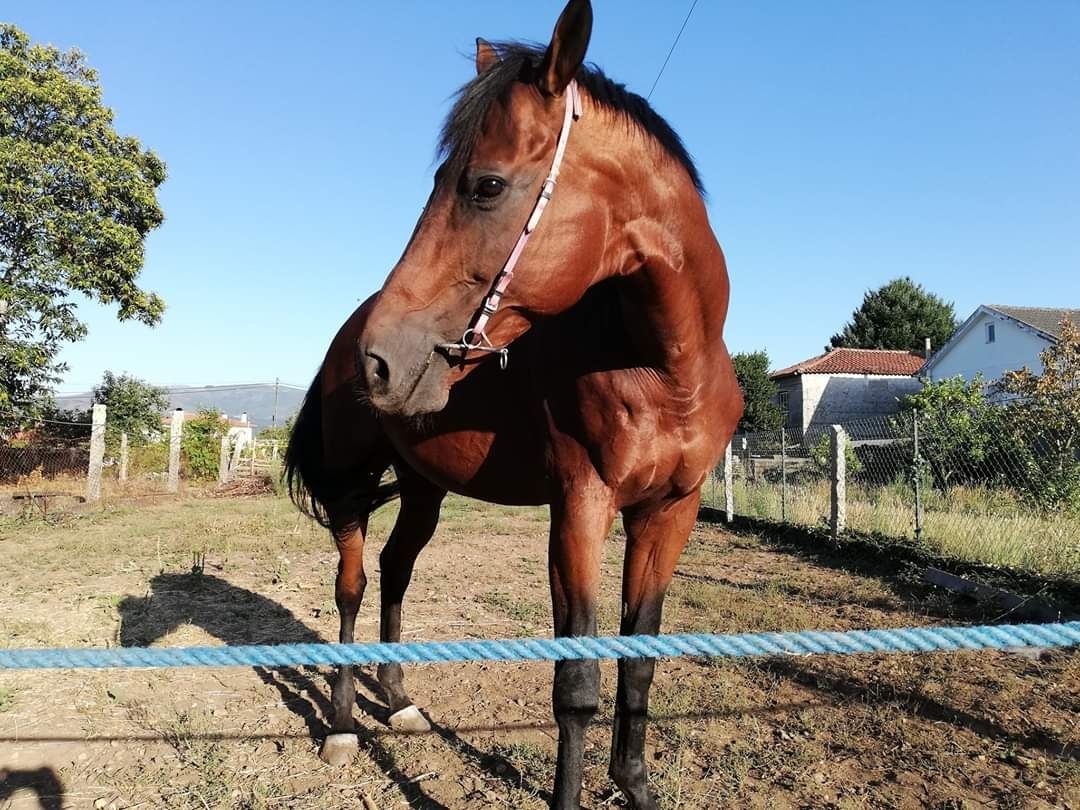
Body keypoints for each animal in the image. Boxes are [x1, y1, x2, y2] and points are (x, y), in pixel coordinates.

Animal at [287, 3, 743, 807]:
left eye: (487, 185)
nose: (381, 361)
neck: (664, 371)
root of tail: (346, 333)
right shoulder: (580, 509)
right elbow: (577, 683)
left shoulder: (670, 514)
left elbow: (640, 660)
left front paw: (634, 785)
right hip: (351, 486)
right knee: (352, 585)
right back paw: (342, 725)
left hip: (424, 489)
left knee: (397, 570)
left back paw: (396, 701)